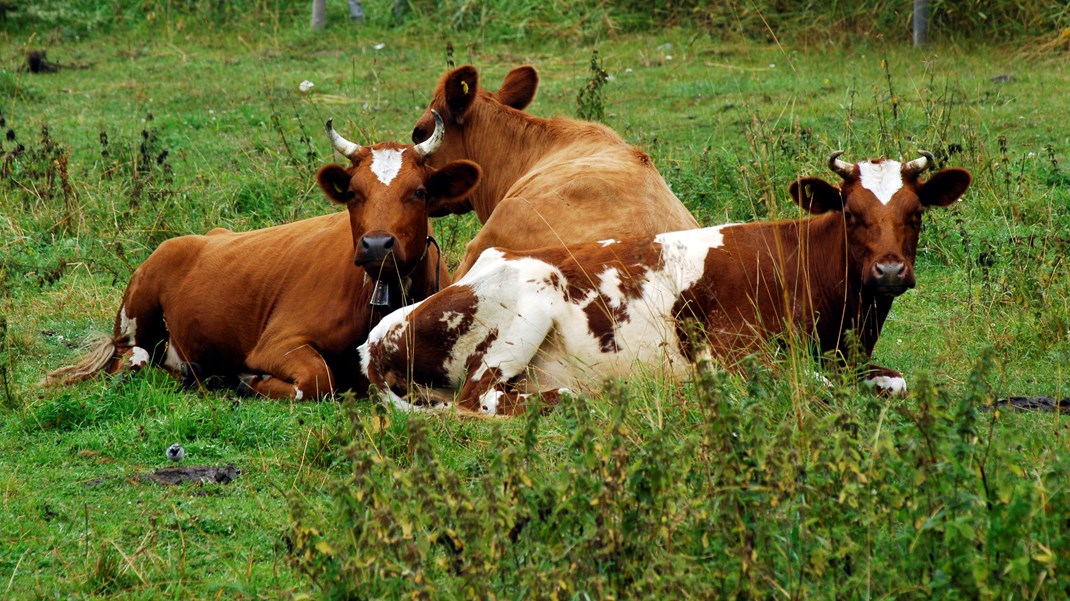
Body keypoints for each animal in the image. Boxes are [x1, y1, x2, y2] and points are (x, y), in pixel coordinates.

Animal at [42, 114, 481, 399]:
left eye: (419, 191)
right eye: (354, 193)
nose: (376, 245)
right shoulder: (276, 343)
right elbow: (316, 380)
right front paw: (249, 381)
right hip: (137, 316)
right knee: (132, 357)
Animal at [357, 149, 971, 414]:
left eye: (915, 213)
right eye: (852, 213)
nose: (888, 271)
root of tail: (378, 335)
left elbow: (894, 381)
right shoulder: (737, 356)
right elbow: (815, 388)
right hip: (529, 299)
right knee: (479, 398)